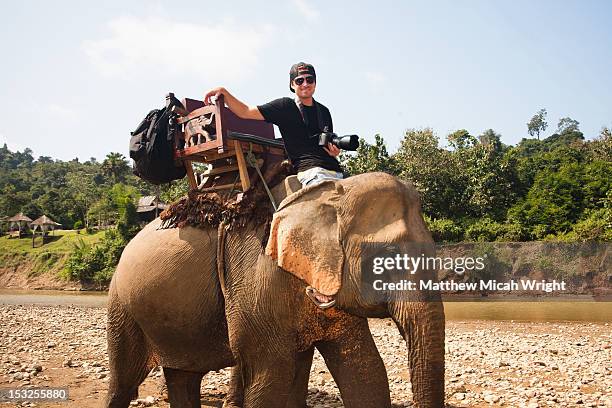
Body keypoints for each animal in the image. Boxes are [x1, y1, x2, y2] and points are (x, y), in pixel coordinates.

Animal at [106, 172, 444, 408]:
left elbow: (365, 369)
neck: (324, 195)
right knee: (124, 382)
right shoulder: (256, 275)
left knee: (182, 376)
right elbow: (271, 376)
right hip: (121, 306)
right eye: (387, 255)